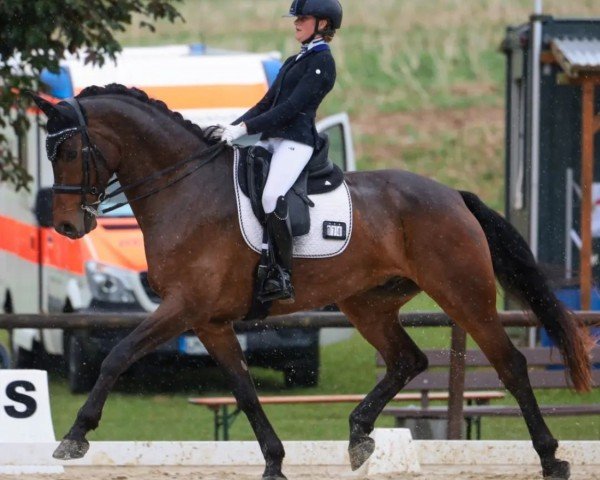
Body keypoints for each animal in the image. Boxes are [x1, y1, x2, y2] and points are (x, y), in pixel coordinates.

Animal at [30, 84, 592, 478]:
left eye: (69, 152)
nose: (67, 227)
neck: (183, 189)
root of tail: (453, 195)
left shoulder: (183, 307)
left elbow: (118, 354)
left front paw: (75, 436)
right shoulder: (209, 321)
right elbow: (244, 390)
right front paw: (275, 462)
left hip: (462, 294)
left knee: (510, 364)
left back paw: (551, 458)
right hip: (366, 303)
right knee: (408, 360)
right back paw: (360, 436)